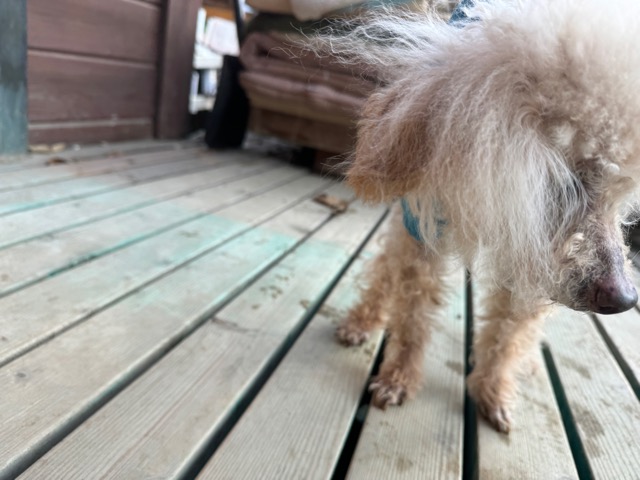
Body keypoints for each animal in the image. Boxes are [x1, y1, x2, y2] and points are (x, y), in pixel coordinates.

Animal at [328, 0, 640, 433]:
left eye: (622, 193)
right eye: (564, 181)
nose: (623, 299)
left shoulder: (534, 262)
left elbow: (508, 332)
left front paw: (493, 390)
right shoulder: (423, 227)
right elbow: (412, 308)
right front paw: (399, 377)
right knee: (385, 270)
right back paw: (362, 321)